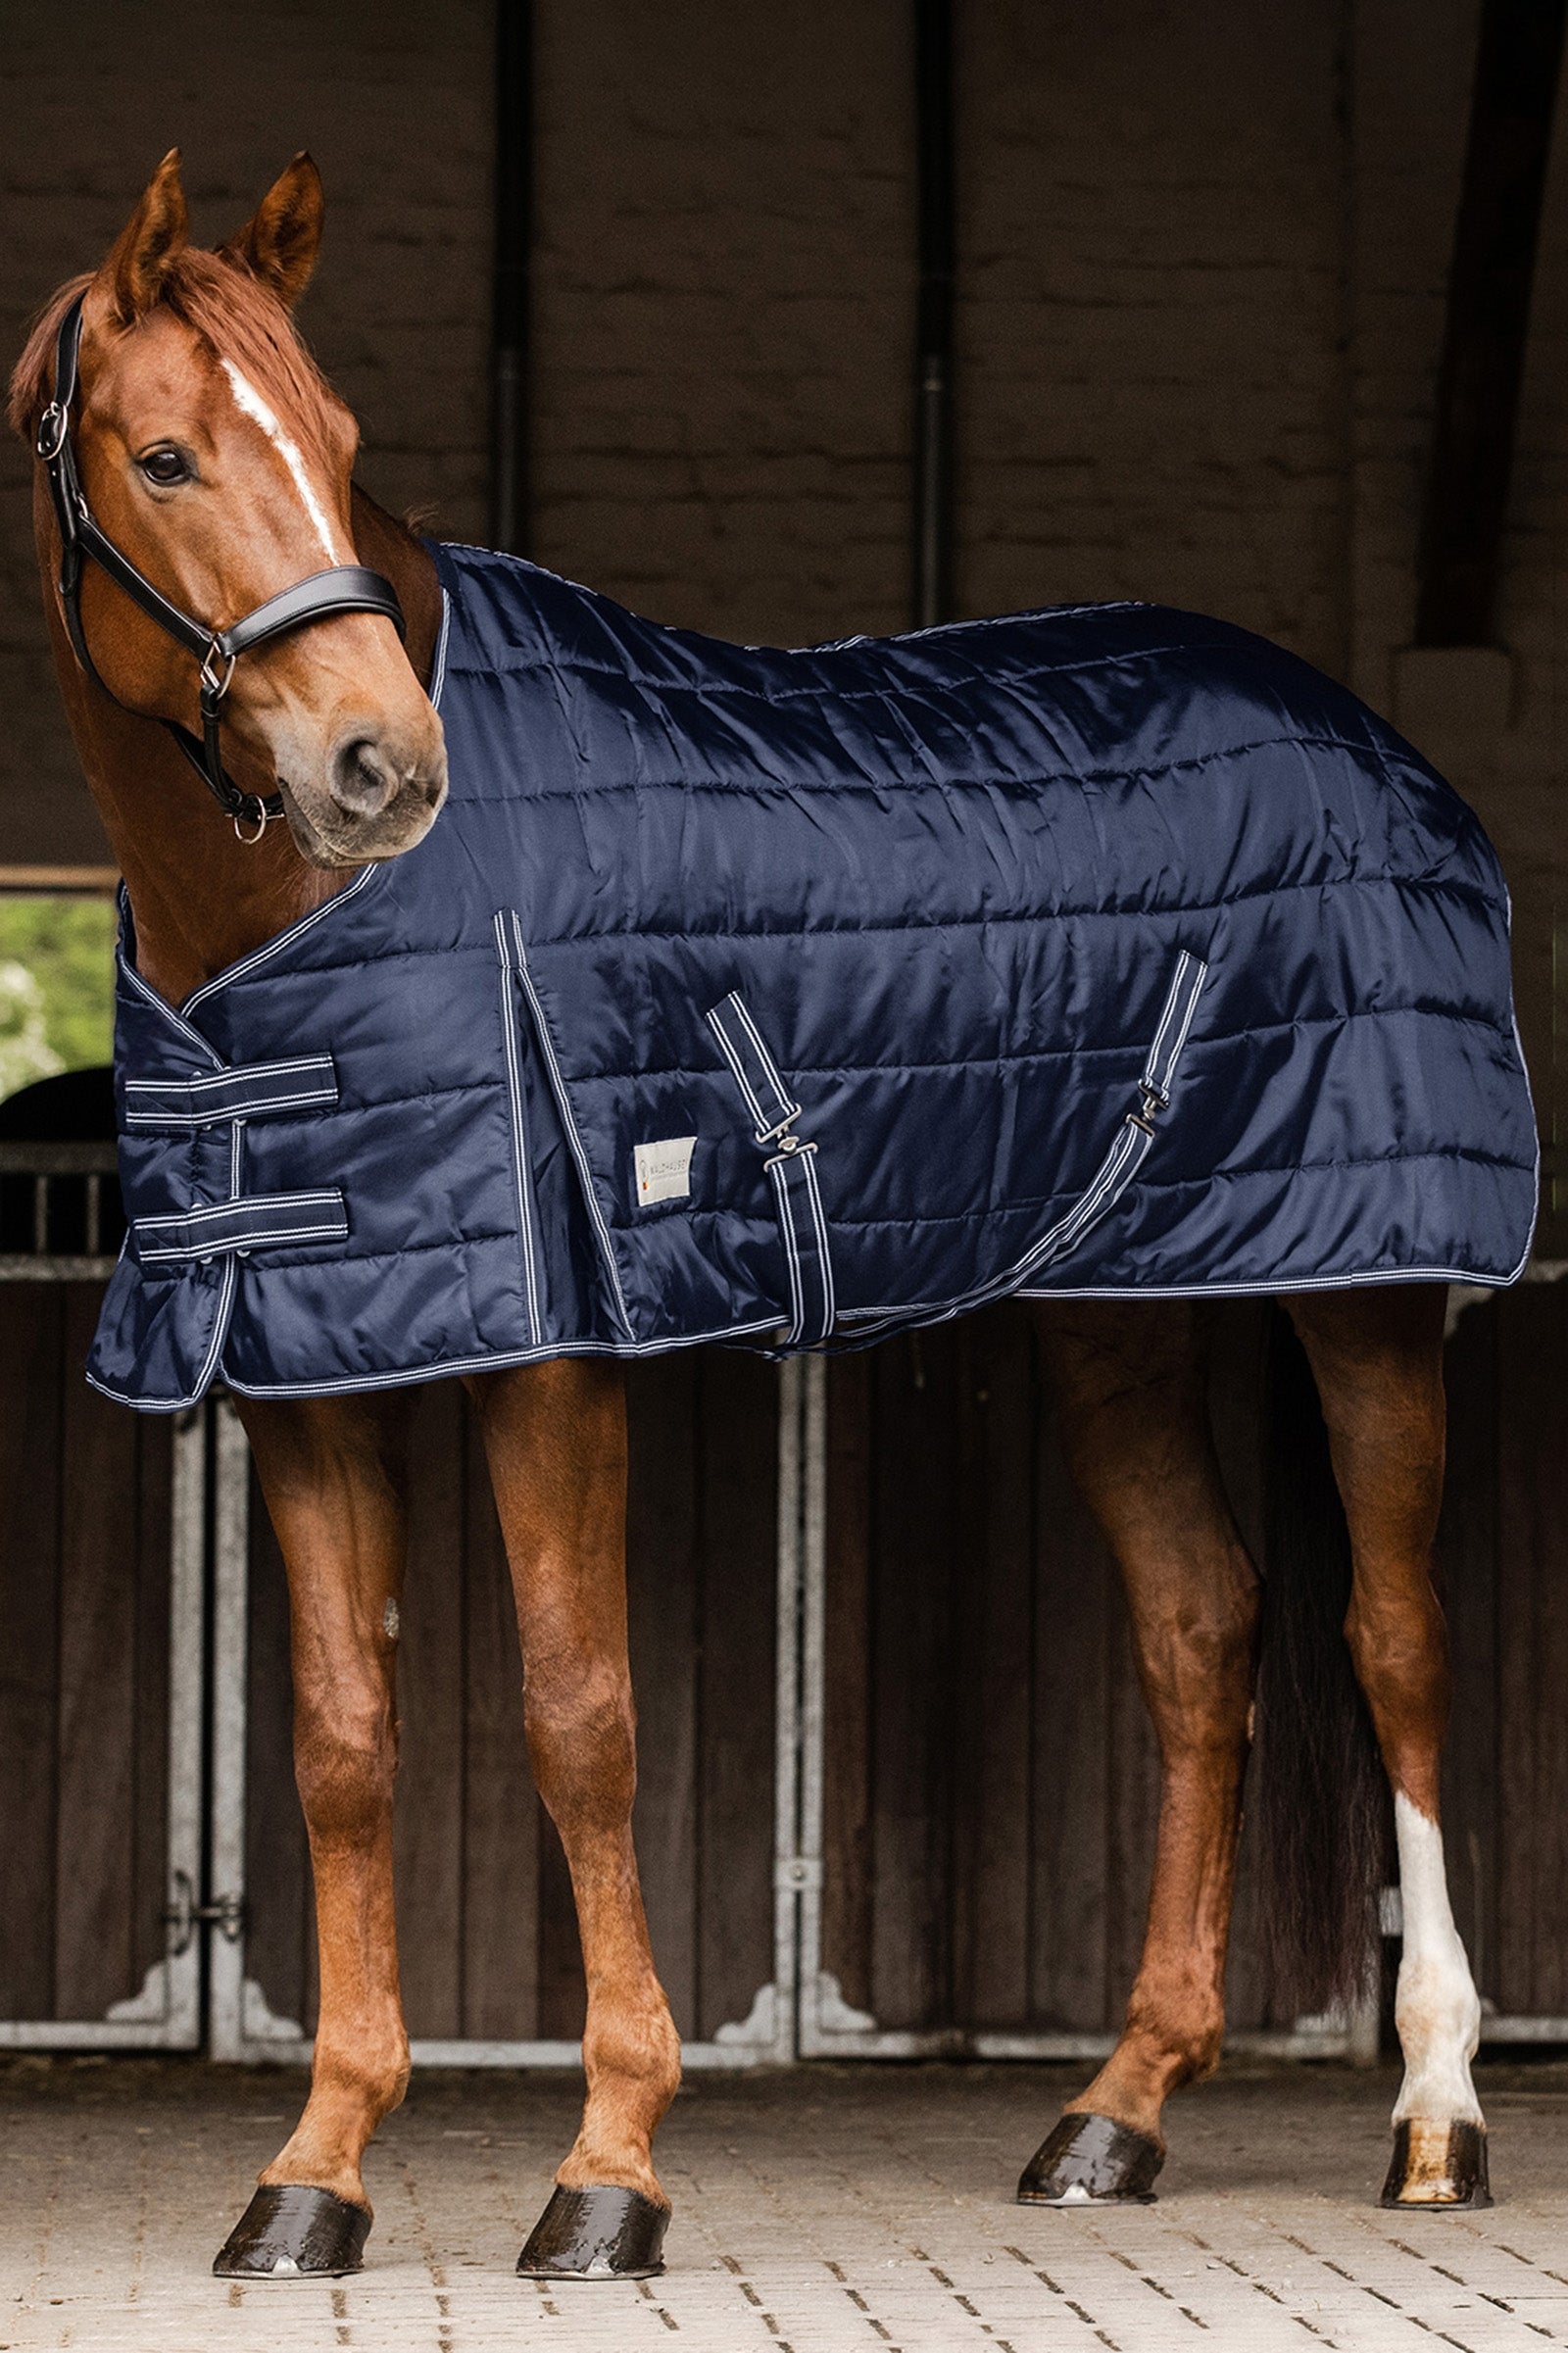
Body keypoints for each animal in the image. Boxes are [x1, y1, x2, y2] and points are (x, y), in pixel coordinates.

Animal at [10, 150, 1528, 2280]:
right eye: (162, 456)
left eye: (339, 440)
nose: (383, 765)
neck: (292, 940)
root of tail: (1374, 744)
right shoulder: (310, 1358)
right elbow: (338, 1745)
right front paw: (313, 2173)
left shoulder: (553, 1352)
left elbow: (579, 1720)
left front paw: (611, 2169)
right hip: (1115, 1309)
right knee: (1198, 1631)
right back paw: (1115, 2110)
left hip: (1369, 1287)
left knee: (1392, 1637)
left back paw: (1434, 2107)